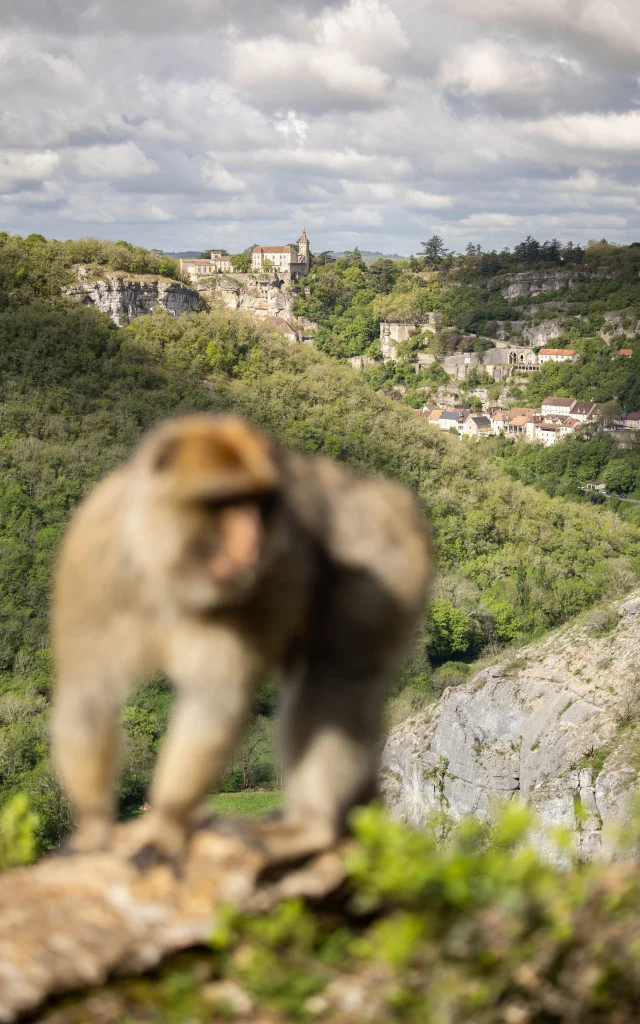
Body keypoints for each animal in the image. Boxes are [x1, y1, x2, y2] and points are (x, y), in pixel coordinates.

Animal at [49, 411, 430, 868]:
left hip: (388, 561)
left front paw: (165, 823)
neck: (169, 567)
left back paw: (312, 825)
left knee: (334, 684)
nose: (253, 544)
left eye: (261, 504)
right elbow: (87, 692)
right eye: (224, 503)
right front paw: (94, 827)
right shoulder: (92, 550)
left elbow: (215, 699)